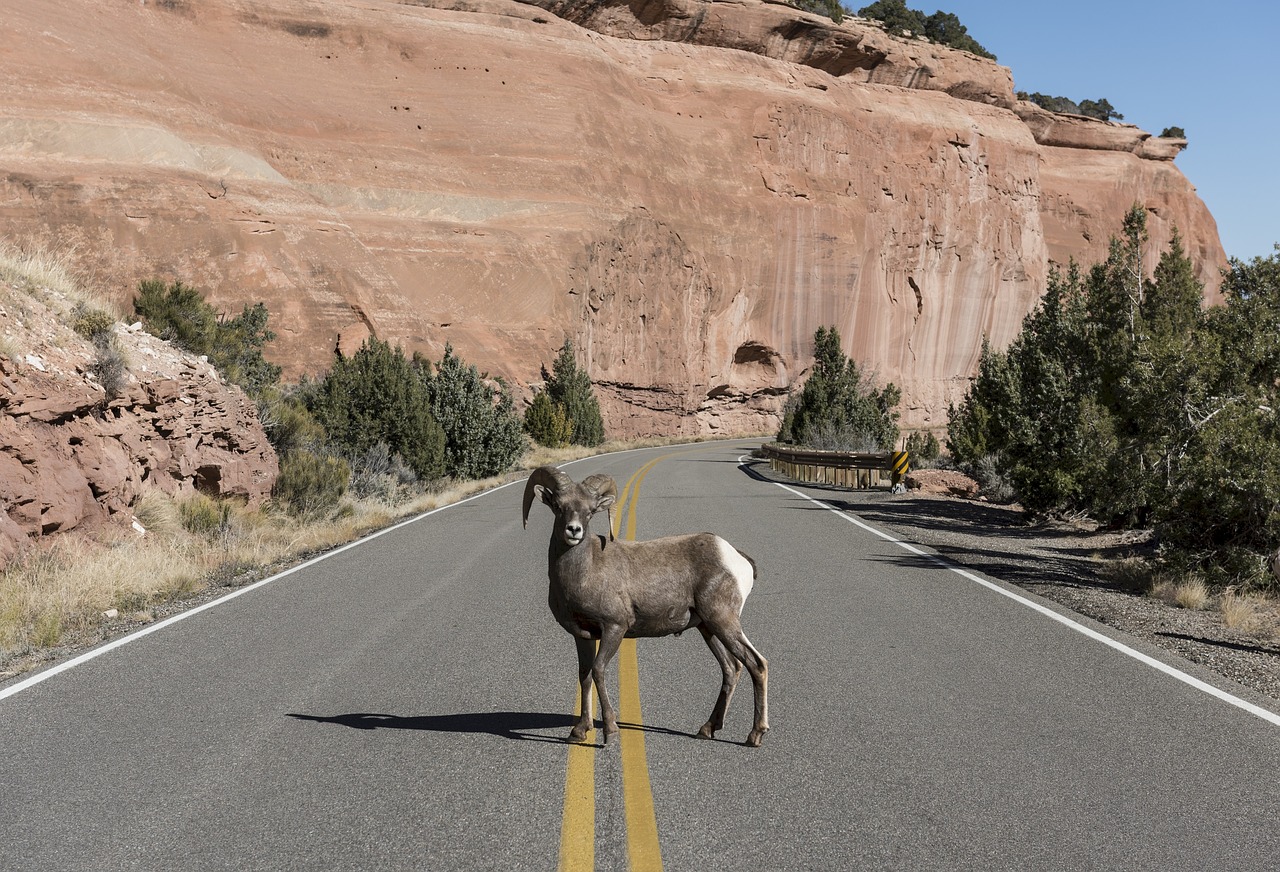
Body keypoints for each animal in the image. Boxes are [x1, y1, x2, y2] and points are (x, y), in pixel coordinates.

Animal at [522, 466, 768, 742]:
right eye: (558, 506)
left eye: (590, 510)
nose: (573, 531)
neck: (585, 571)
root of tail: (737, 557)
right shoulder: (583, 635)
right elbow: (584, 675)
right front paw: (579, 731)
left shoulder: (615, 628)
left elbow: (598, 670)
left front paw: (610, 729)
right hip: (708, 628)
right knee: (731, 668)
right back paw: (707, 729)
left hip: (723, 621)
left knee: (757, 664)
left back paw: (755, 735)